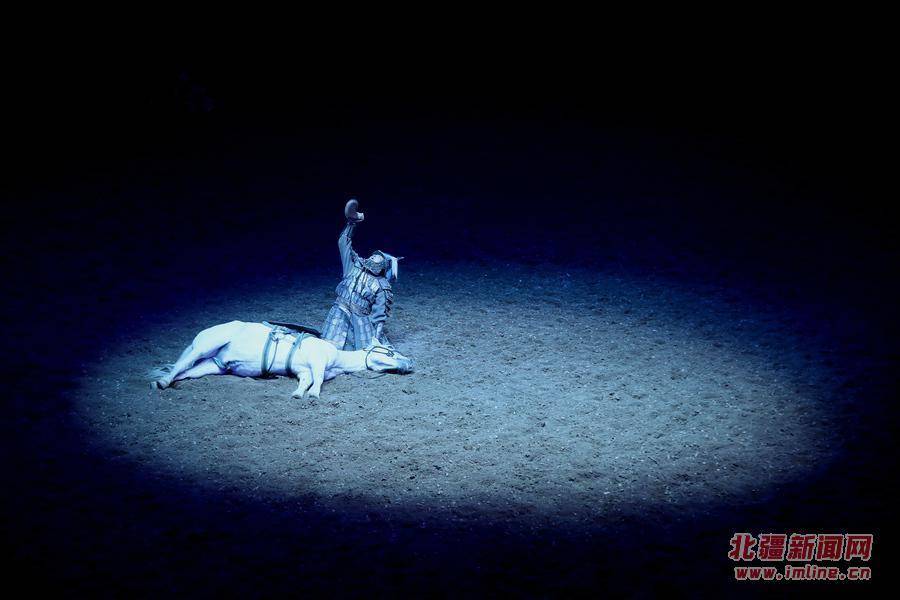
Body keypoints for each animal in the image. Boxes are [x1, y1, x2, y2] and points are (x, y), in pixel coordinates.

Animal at [150, 321, 414, 399]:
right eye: (390, 351)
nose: (411, 363)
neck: (337, 357)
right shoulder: (317, 361)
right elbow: (317, 379)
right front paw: (313, 395)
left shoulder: (304, 370)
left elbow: (307, 380)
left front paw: (299, 393)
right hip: (204, 347)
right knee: (181, 364)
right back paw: (160, 383)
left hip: (211, 366)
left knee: (185, 372)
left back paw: (165, 383)